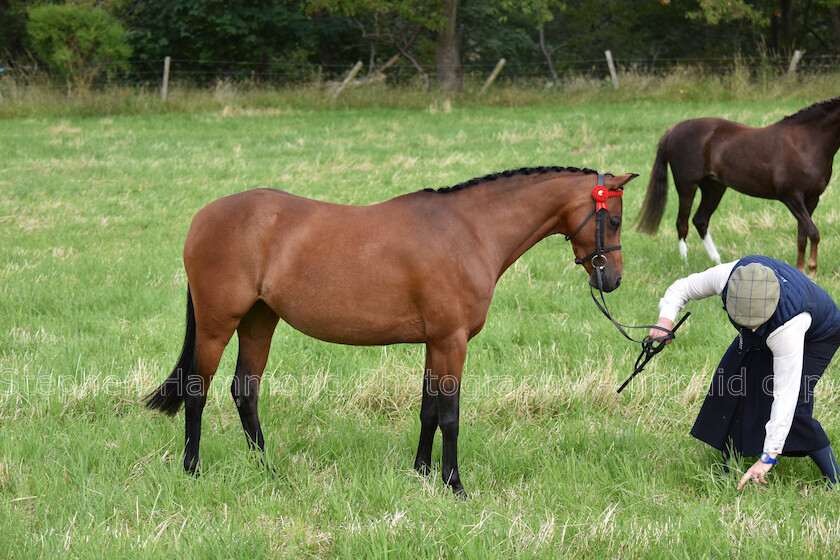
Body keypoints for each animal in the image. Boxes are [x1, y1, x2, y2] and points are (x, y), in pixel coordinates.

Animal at [144, 166, 636, 494]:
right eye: (613, 220)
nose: (612, 279)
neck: (469, 231)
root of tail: (203, 218)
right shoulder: (452, 341)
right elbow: (451, 416)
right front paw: (454, 485)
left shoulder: (435, 342)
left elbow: (429, 410)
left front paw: (421, 472)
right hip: (217, 323)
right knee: (197, 391)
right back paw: (192, 469)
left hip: (259, 322)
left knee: (245, 390)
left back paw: (266, 470)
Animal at [636, 98, 840, 274]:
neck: (806, 142)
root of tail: (673, 129)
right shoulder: (792, 198)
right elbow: (813, 232)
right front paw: (812, 270)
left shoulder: (812, 199)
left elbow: (802, 236)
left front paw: (802, 270)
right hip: (687, 187)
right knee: (682, 223)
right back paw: (685, 263)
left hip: (714, 188)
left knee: (700, 220)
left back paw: (718, 262)